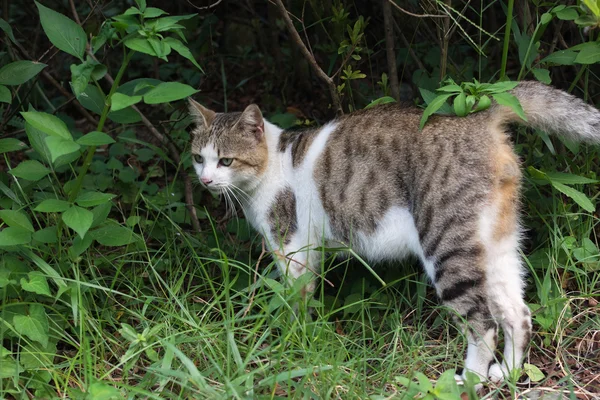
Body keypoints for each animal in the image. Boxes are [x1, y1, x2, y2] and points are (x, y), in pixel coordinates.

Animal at [189, 82, 600, 384]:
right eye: (198, 158)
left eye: (225, 160)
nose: (205, 180)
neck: (272, 165)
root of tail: (478, 120)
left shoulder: (291, 249)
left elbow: (295, 303)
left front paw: (293, 345)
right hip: (496, 245)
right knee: (518, 314)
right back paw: (509, 373)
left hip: (447, 247)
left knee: (483, 325)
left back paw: (469, 379)